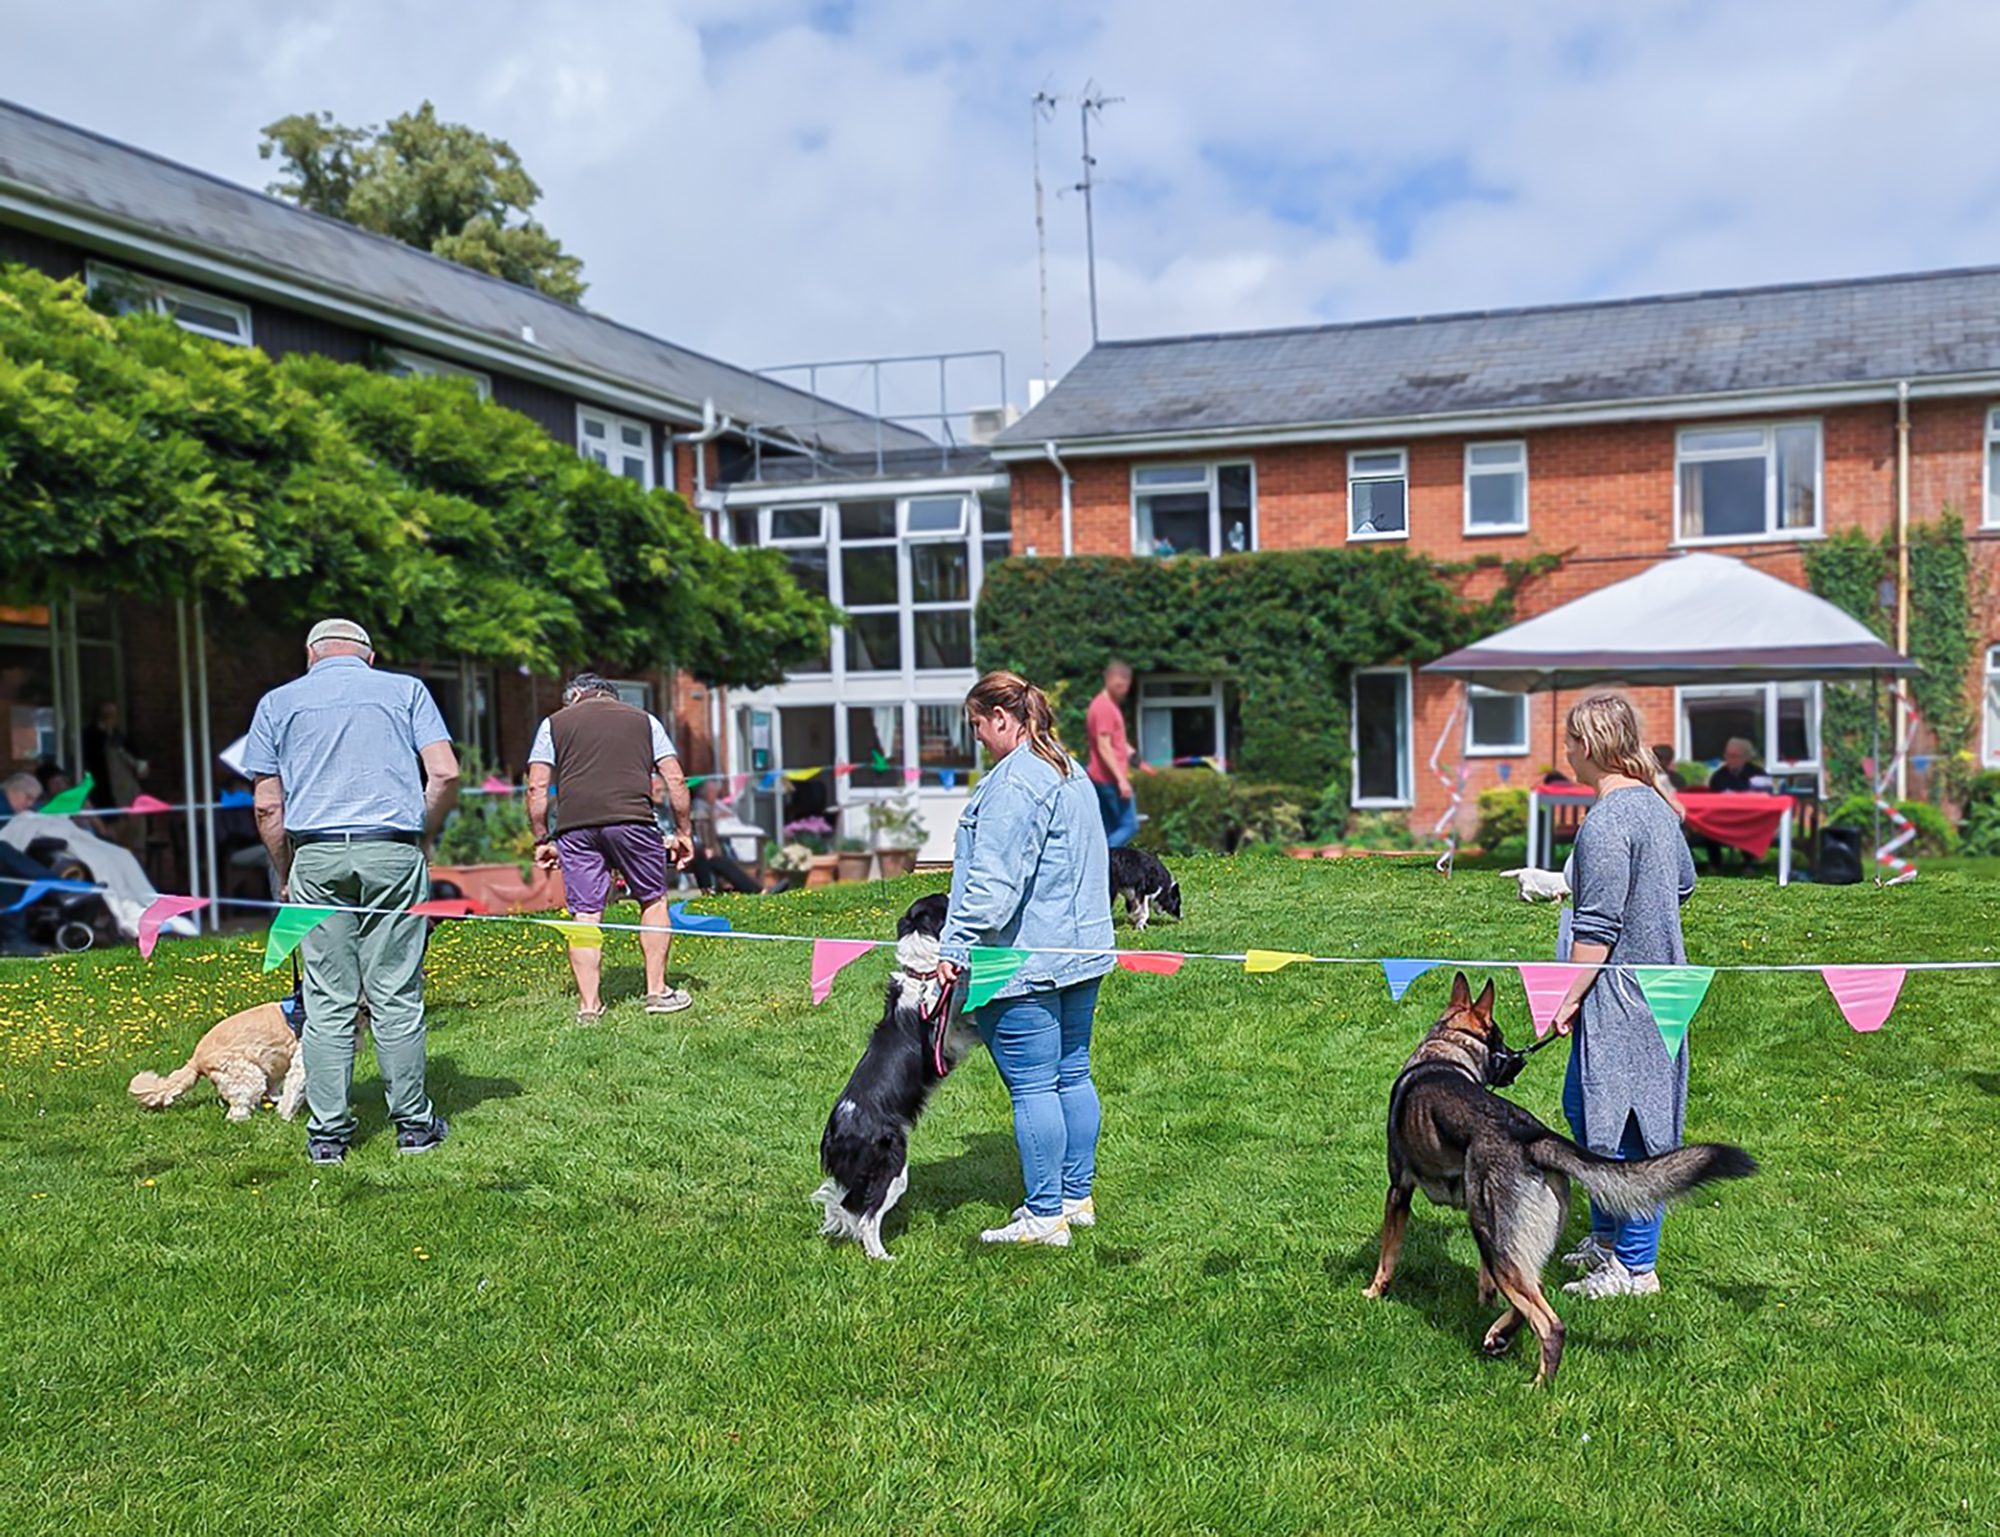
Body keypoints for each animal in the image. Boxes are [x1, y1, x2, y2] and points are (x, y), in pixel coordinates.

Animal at [804, 888, 976, 1264]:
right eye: (944, 901)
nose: (954, 887)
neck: (921, 978)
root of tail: (835, 1134)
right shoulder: (947, 1038)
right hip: (893, 1167)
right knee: (868, 1218)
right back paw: (883, 1257)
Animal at [1360, 976, 1752, 1384]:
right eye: (1501, 1041)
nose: (1517, 1061)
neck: (1448, 1050)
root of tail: (1534, 1136)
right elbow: (1484, 1281)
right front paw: (1484, 1302)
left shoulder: (1398, 1191)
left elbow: (1388, 1254)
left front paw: (1374, 1292)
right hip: (1504, 1239)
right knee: (1533, 1292)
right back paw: (1498, 1334)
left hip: (1492, 1237)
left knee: (1549, 1323)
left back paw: (1537, 1383)